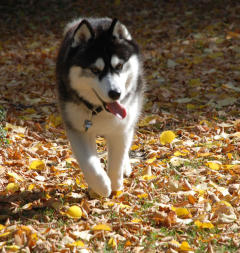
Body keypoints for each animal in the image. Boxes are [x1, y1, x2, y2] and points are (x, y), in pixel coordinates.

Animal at [56, 17, 144, 198]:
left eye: (119, 66)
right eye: (95, 70)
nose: (116, 94)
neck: (101, 111)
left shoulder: (121, 129)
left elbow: (117, 159)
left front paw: (116, 184)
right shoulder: (78, 130)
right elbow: (90, 165)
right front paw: (102, 186)